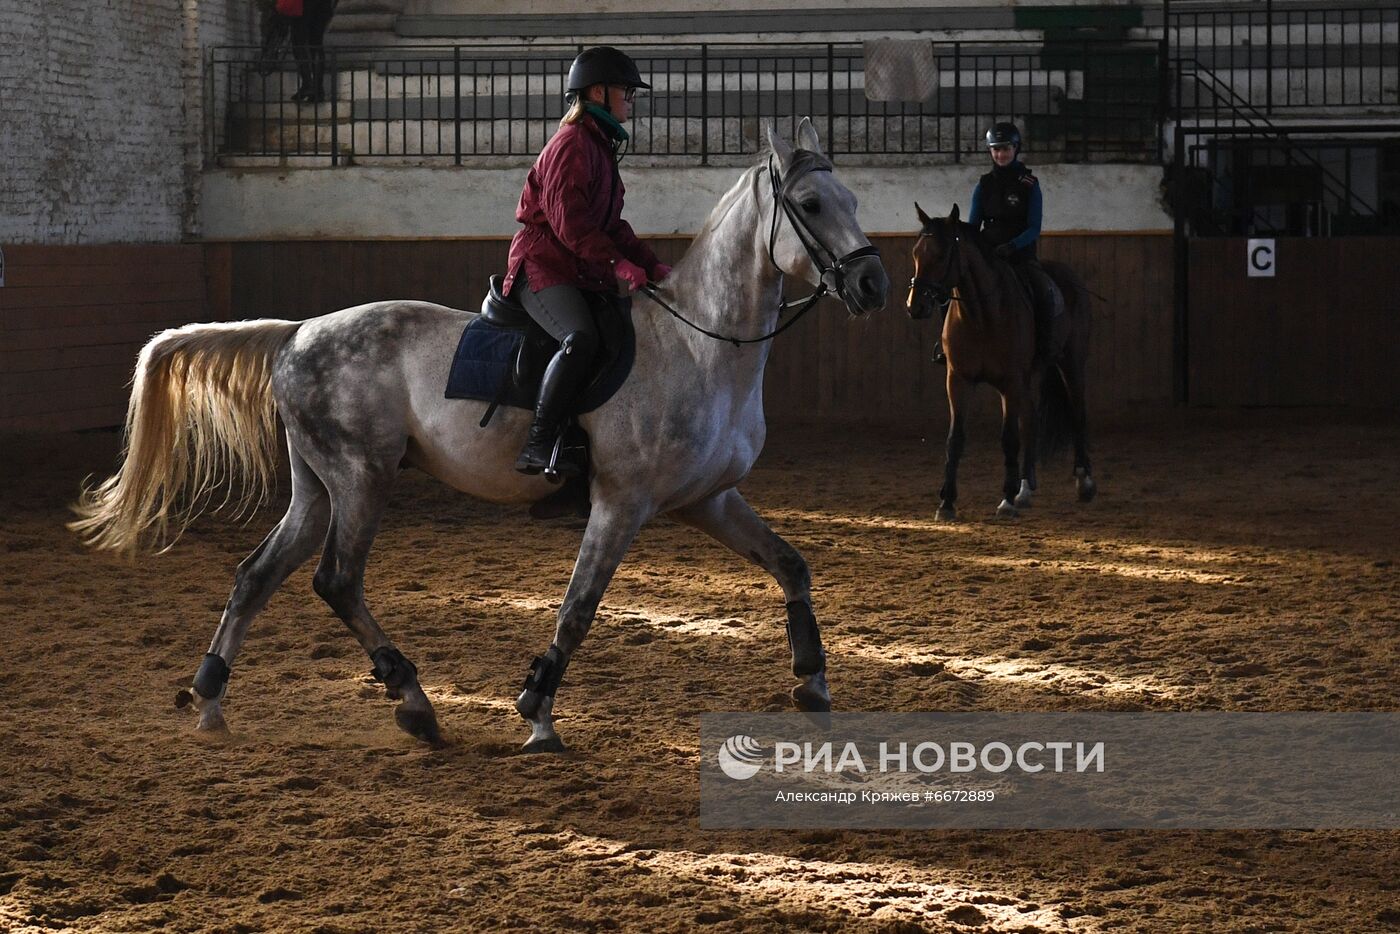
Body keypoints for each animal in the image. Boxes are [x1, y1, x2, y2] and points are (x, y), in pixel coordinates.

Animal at [68, 122, 884, 750]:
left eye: (852, 198)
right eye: (811, 204)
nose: (874, 286)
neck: (702, 345)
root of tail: (298, 332)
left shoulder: (707, 500)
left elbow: (792, 565)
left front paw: (814, 681)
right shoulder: (621, 504)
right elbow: (578, 609)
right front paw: (537, 714)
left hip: (318, 485)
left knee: (256, 575)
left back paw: (211, 699)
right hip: (362, 477)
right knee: (336, 580)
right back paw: (414, 703)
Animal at [901, 203, 1097, 518]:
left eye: (941, 255)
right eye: (915, 253)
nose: (914, 306)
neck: (980, 315)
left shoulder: (1010, 382)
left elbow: (1008, 438)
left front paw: (1005, 500)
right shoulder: (958, 379)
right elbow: (955, 439)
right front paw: (947, 503)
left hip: (1071, 362)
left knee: (1078, 413)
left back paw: (1084, 482)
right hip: (1029, 377)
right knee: (1031, 420)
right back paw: (1025, 489)